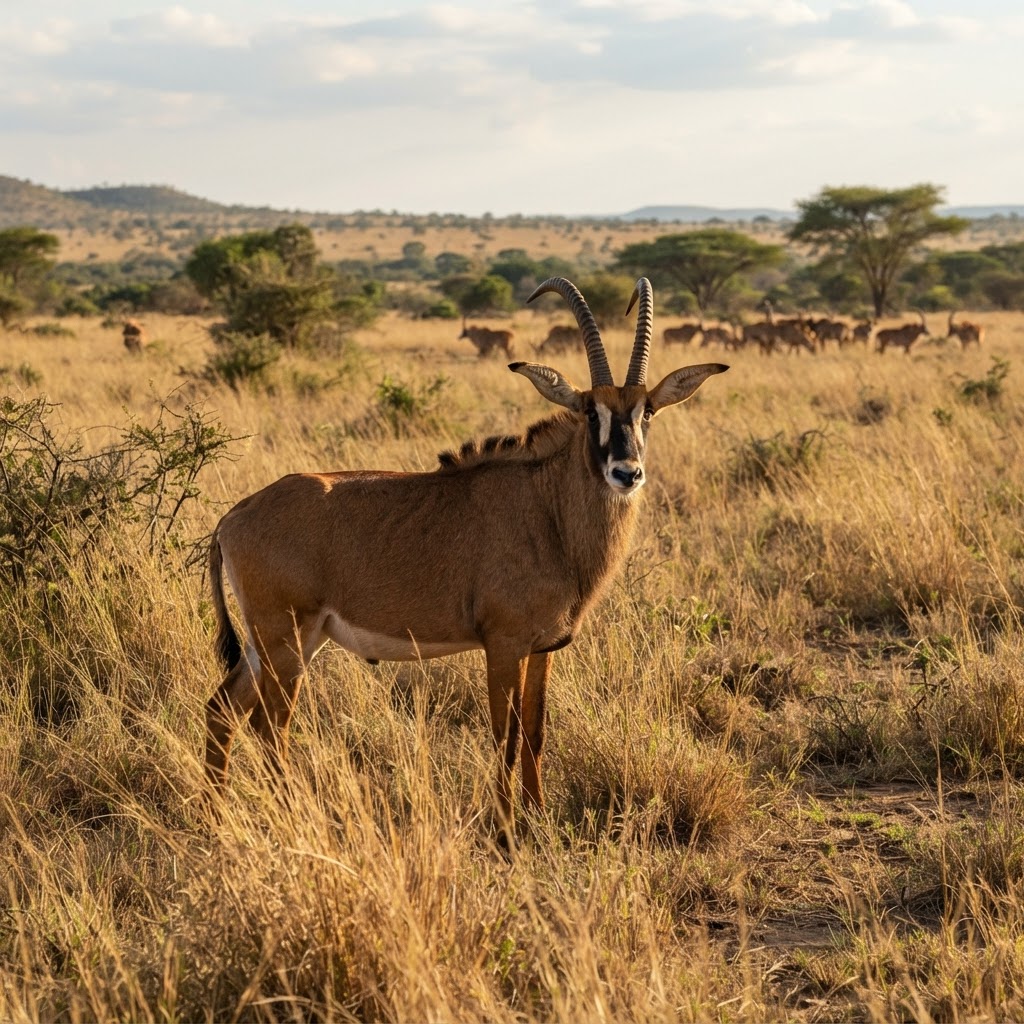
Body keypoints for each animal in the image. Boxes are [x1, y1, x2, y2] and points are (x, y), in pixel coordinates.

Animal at [204, 277, 727, 834]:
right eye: (591, 411)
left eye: (646, 411)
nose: (627, 472)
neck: (547, 509)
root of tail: (233, 517)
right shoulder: (503, 645)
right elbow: (505, 737)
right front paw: (506, 831)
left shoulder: (542, 649)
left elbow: (536, 732)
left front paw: (537, 820)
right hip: (287, 639)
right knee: (269, 726)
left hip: (278, 642)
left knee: (224, 710)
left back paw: (214, 814)